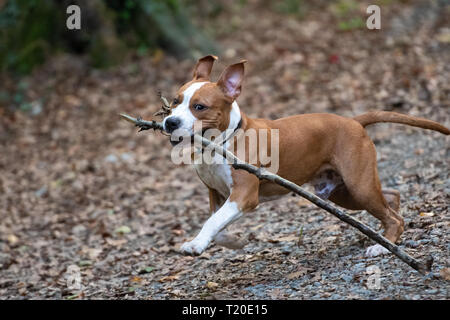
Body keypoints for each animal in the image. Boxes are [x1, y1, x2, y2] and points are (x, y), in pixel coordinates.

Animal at [163, 54, 450, 255]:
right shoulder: (217, 194)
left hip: (358, 186)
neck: (222, 141)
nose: (170, 122)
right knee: (392, 196)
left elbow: (213, 222)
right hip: (344, 192)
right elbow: (217, 223)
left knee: (393, 216)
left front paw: (196, 244)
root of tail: (353, 121)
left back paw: (383, 245)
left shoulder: (244, 195)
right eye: (175, 101)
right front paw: (235, 241)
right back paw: (386, 232)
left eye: (200, 107)